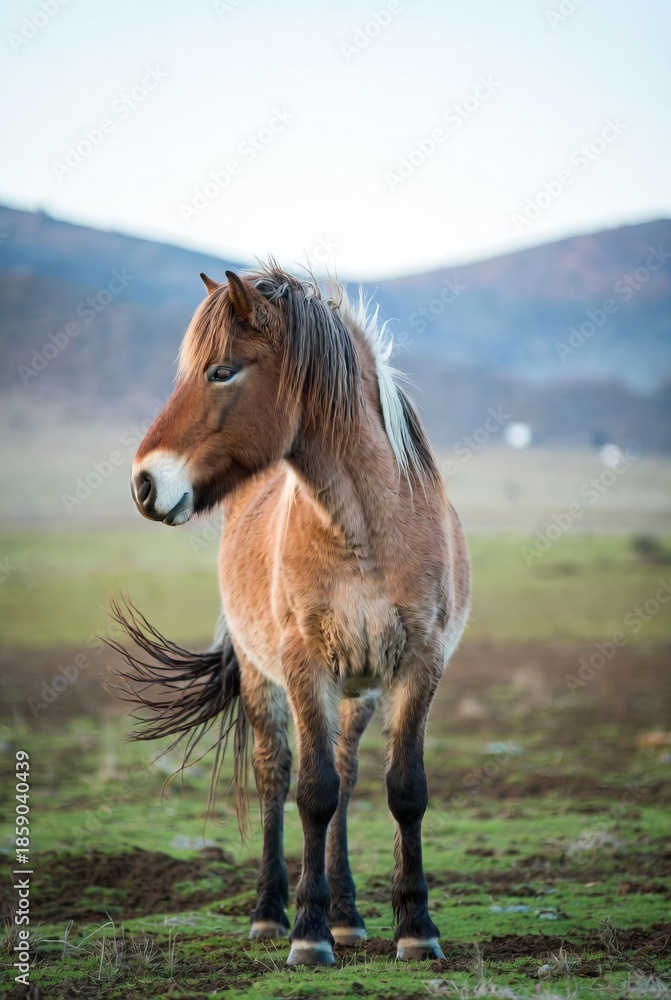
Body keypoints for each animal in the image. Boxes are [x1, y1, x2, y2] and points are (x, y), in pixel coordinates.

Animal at [111, 264, 470, 966]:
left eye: (222, 371)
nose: (144, 484)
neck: (366, 530)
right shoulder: (304, 664)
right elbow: (312, 792)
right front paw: (307, 932)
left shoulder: (420, 663)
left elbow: (403, 790)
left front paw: (415, 928)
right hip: (262, 678)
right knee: (276, 777)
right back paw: (271, 913)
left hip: (360, 690)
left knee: (351, 775)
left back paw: (349, 916)